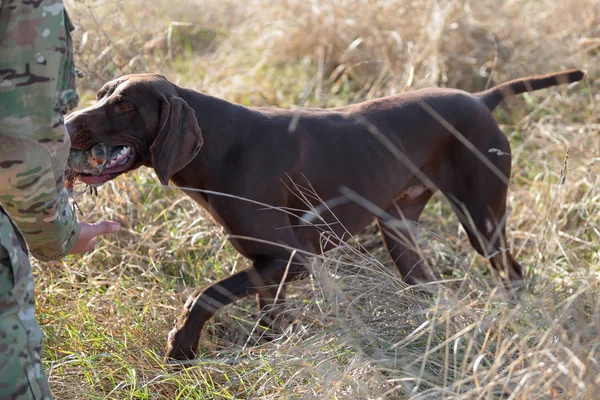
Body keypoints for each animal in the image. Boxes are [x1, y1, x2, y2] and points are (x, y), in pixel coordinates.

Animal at [65, 69, 584, 362]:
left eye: (124, 105)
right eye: (101, 94)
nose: (66, 123)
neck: (220, 146)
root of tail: (480, 98)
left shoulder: (292, 259)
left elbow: (204, 295)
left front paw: (182, 347)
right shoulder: (268, 267)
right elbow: (266, 316)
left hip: (482, 220)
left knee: (511, 271)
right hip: (399, 232)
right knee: (428, 287)